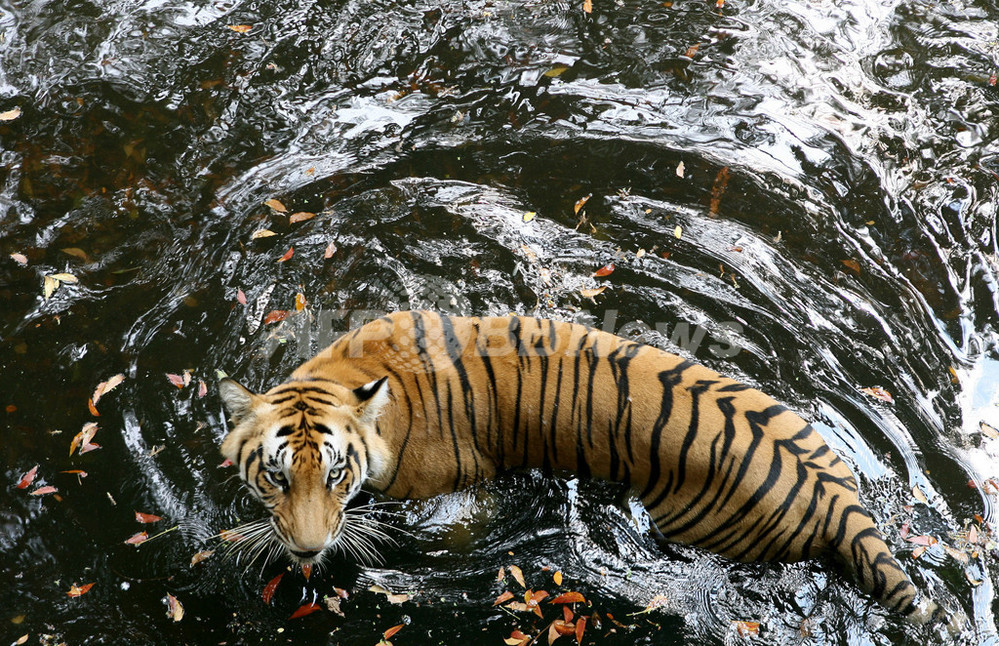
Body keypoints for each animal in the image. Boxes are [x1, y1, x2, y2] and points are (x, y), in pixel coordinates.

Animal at [221, 312, 960, 632]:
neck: (350, 373)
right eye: (277, 477)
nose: (308, 549)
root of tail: (837, 499)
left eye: (335, 477)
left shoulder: (457, 496)